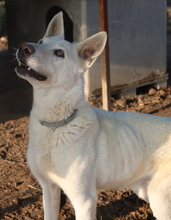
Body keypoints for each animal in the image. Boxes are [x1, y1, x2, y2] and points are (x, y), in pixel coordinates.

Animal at [16, 12, 171, 220]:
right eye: (41, 41)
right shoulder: (49, 189)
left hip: (158, 197)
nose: (24, 47)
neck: (57, 124)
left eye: (59, 53)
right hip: (144, 189)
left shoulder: (84, 201)